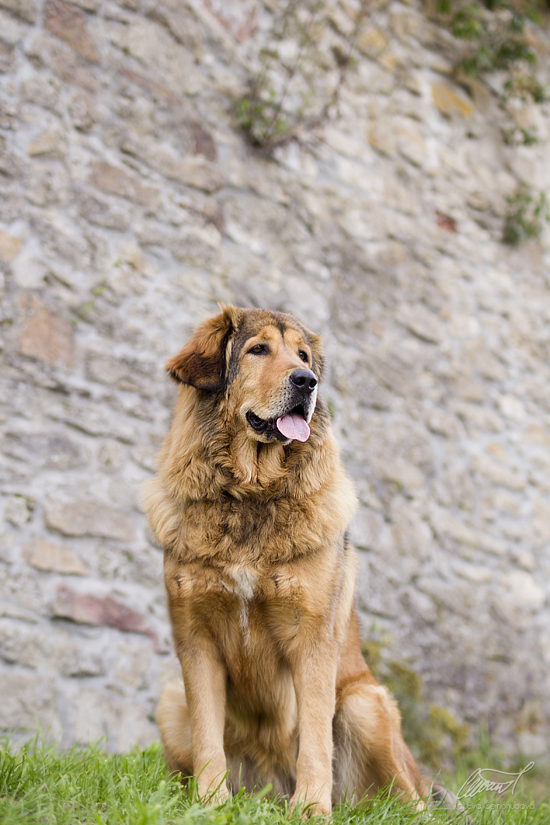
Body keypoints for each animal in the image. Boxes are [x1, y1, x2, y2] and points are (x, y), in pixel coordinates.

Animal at [142, 306, 458, 816]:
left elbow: (314, 736)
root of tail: (269, 789)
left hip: (364, 703)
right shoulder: (196, 639)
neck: (251, 494)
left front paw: (311, 809)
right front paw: (209, 804)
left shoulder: (312, 638)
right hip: (172, 704)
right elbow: (208, 735)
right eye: (258, 350)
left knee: (412, 802)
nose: (306, 381)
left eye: (303, 356)